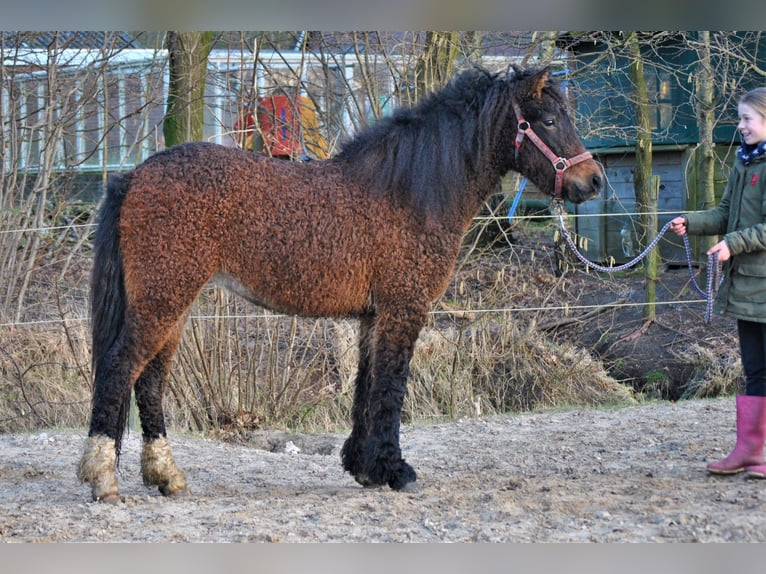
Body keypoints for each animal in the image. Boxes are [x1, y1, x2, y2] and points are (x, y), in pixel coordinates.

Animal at [78, 65, 608, 502]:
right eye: (548, 121)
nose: (594, 180)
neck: (409, 191)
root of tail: (134, 176)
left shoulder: (373, 316)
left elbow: (366, 387)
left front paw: (364, 467)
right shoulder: (404, 309)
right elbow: (391, 388)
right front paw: (396, 471)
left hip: (170, 303)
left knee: (149, 382)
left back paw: (166, 476)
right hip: (163, 299)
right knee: (120, 368)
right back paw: (103, 478)